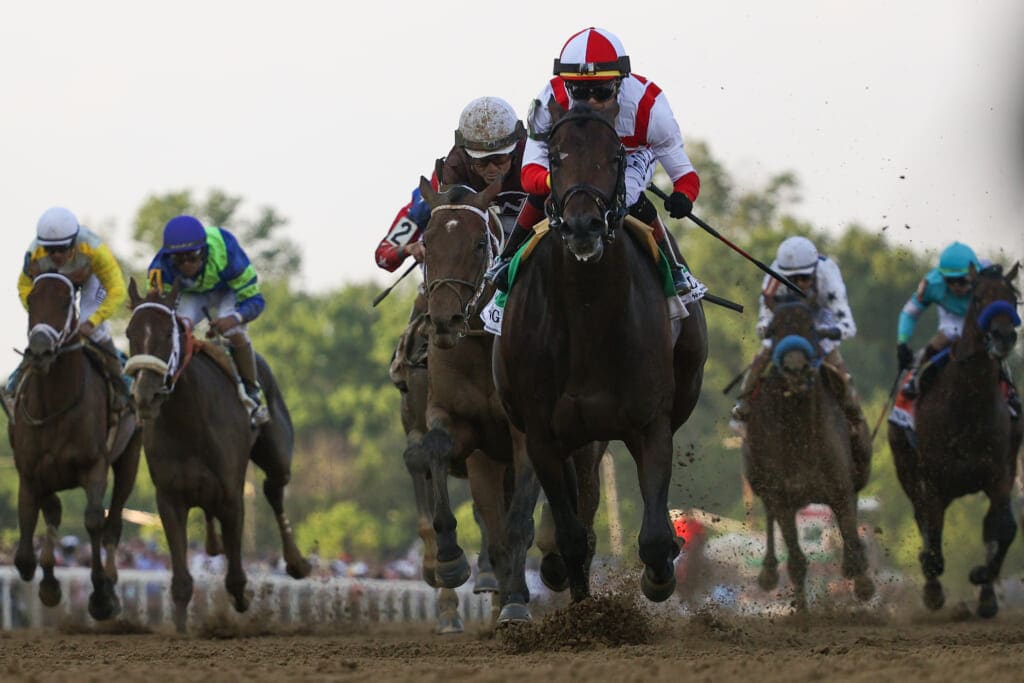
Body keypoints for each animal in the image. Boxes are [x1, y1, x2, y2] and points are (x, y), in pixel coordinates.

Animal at [9, 272, 142, 618]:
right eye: (32, 299)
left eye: (65, 301)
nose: (40, 352)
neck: (55, 403)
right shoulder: (30, 472)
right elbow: (24, 554)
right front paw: (49, 585)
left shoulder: (94, 466)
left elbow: (95, 520)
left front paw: (101, 595)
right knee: (54, 512)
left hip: (130, 457)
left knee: (113, 522)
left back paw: (111, 584)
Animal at [125, 280, 307, 634]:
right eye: (130, 333)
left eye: (167, 334)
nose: (145, 396)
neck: (188, 421)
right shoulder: (169, 497)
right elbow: (181, 579)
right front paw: (181, 628)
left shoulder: (231, 496)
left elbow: (236, 576)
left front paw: (243, 601)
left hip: (277, 454)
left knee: (274, 490)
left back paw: (296, 562)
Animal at [491, 98, 708, 602]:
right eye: (555, 159)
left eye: (615, 158)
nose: (583, 225)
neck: (588, 318)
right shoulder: (542, 434)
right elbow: (571, 536)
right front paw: (583, 607)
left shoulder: (651, 423)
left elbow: (653, 535)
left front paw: (659, 574)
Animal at [741, 296, 876, 610]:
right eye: (774, 329)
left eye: (811, 327)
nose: (795, 367)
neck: (799, 436)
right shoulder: (782, 498)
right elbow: (797, 561)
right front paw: (801, 611)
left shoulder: (840, 489)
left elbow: (850, 535)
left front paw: (863, 583)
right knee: (769, 517)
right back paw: (768, 573)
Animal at [884, 262, 1019, 618]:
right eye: (979, 297)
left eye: (1013, 298)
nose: (1004, 336)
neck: (967, 405)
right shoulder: (931, 481)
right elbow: (932, 542)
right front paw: (933, 590)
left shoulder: (1001, 474)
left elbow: (1003, 528)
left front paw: (983, 582)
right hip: (908, 472)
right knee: (925, 525)